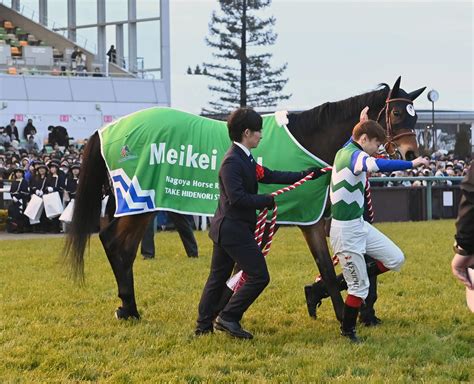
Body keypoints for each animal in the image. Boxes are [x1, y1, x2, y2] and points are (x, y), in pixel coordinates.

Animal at [65, 76, 424, 320]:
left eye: (416, 117)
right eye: (395, 115)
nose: (411, 154)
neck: (310, 140)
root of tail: (105, 131)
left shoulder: (312, 220)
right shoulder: (306, 218)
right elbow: (324, 264)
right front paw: (339, 313)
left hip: (143, 206)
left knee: (118, 245)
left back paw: (128, 307)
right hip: (140, 203)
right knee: (116, 243)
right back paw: (129, 307)